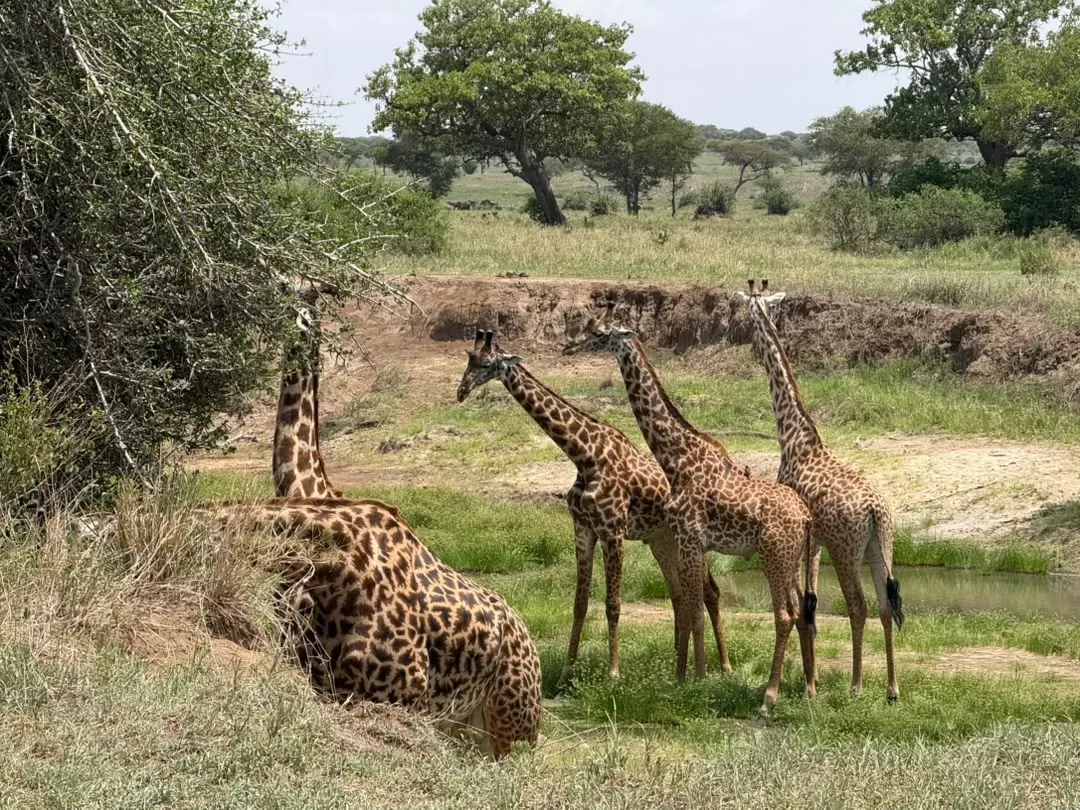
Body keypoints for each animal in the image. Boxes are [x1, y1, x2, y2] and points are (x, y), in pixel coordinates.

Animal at [457, 329, 733, 682]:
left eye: (486, 363)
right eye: (469, 359)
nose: (461, 391)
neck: (584, 456)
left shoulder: (612, 530)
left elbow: (613, 603)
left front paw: (614, 673)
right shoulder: (583, 528)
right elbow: (579, 603)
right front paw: (567, 670)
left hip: (691, 541)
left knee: (710, 591)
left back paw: (723, 666)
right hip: (662, 540)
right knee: (679, 594)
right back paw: (674, 663)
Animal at [564, 314, 816, 712]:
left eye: (600, 333)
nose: (570, 346)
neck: (675, 459)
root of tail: (805, 516)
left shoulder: (689, 537)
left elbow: (693, 607)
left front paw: (694, 681)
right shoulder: (690, 542)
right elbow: (690, 605)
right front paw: (685, 677)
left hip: (774, 556)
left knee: (783, 615)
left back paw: (768, 696)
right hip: (790, 560)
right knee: (801, 612)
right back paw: (808, 689)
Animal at [737, 278, 904, 702]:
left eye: (746, 312)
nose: (745, 339)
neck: (795, 436)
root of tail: (876, 511)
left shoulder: (808, 540)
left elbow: (805, 605)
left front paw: (805, 683)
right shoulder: (817, 542)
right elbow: (810, 604)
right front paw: (809, 681)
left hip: (848, 550)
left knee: (858, 606)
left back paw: (857, 686)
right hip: (881, 546)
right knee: (885, 606)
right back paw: (892, 689)